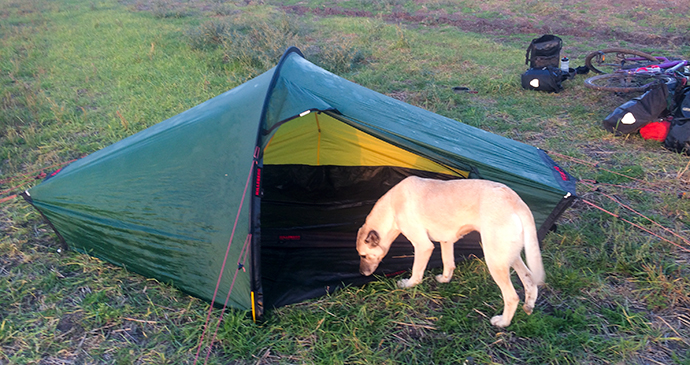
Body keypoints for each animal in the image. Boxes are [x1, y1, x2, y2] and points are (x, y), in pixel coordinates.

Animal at [354, 176, 544, 328]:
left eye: (363, 255)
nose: (362, 273)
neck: (392, 206)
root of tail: (516, 201)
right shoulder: (446, 240)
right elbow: (448, 263)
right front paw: (445, 280)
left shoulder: (423, 246)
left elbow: (416, 272)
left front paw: (408, 284)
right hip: (508, 256)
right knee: (529, 279)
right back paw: (528, 307)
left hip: (495, 260)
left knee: (511, 297)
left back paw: (503, 322)